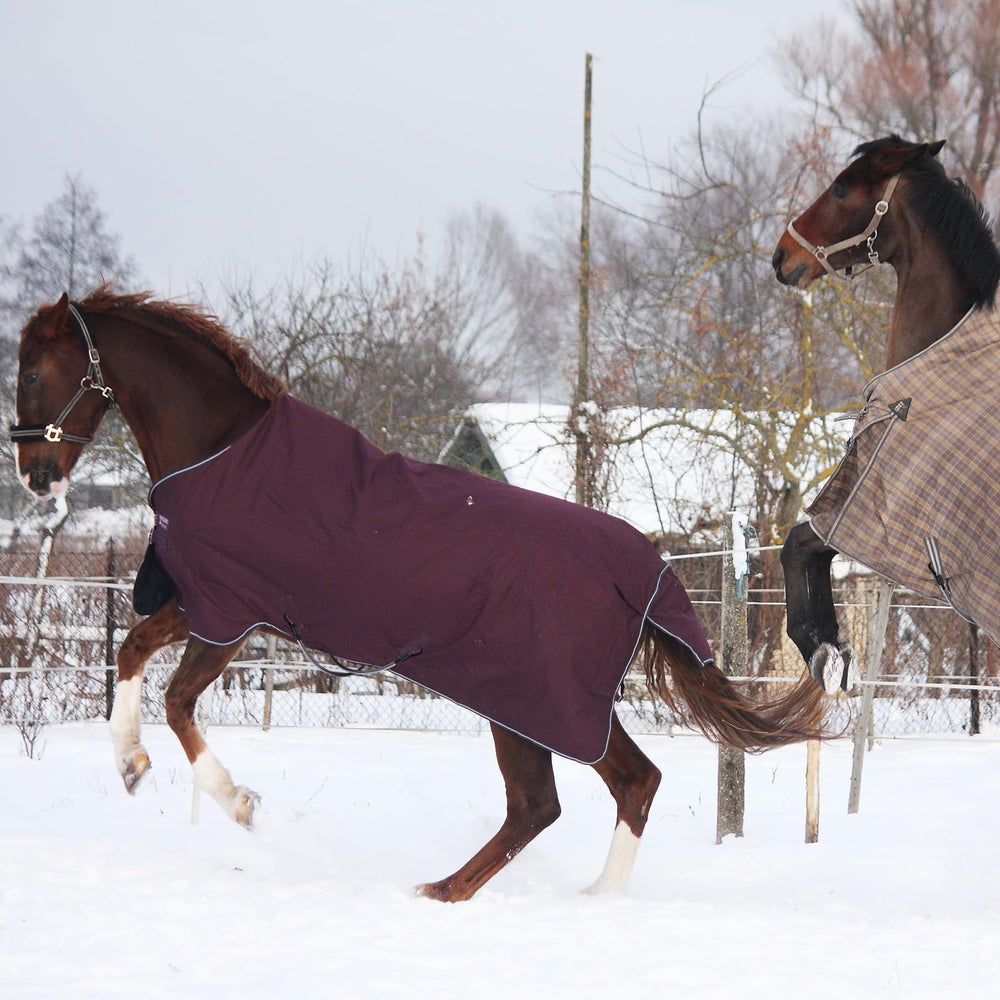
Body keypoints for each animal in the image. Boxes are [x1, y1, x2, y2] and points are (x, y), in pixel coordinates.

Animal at [11, 287, 827, 901]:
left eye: (29, 372)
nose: (33, 475)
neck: (223, 452)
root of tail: (643, 568)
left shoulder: (229, 614)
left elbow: (176, 698)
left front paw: (239, 804)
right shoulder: (211, 607)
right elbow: (129, 650)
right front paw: (130, 765)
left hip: (535, 701)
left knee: (574, 795)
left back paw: (488, 895)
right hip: (548, 704)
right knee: (593, 791)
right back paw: (526, 893)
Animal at [772, 135, 1000, 692]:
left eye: (840, 188)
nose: (781, 255)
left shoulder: (868, 504)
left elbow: (797, 544)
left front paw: (819, 643)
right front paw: (830, 644)